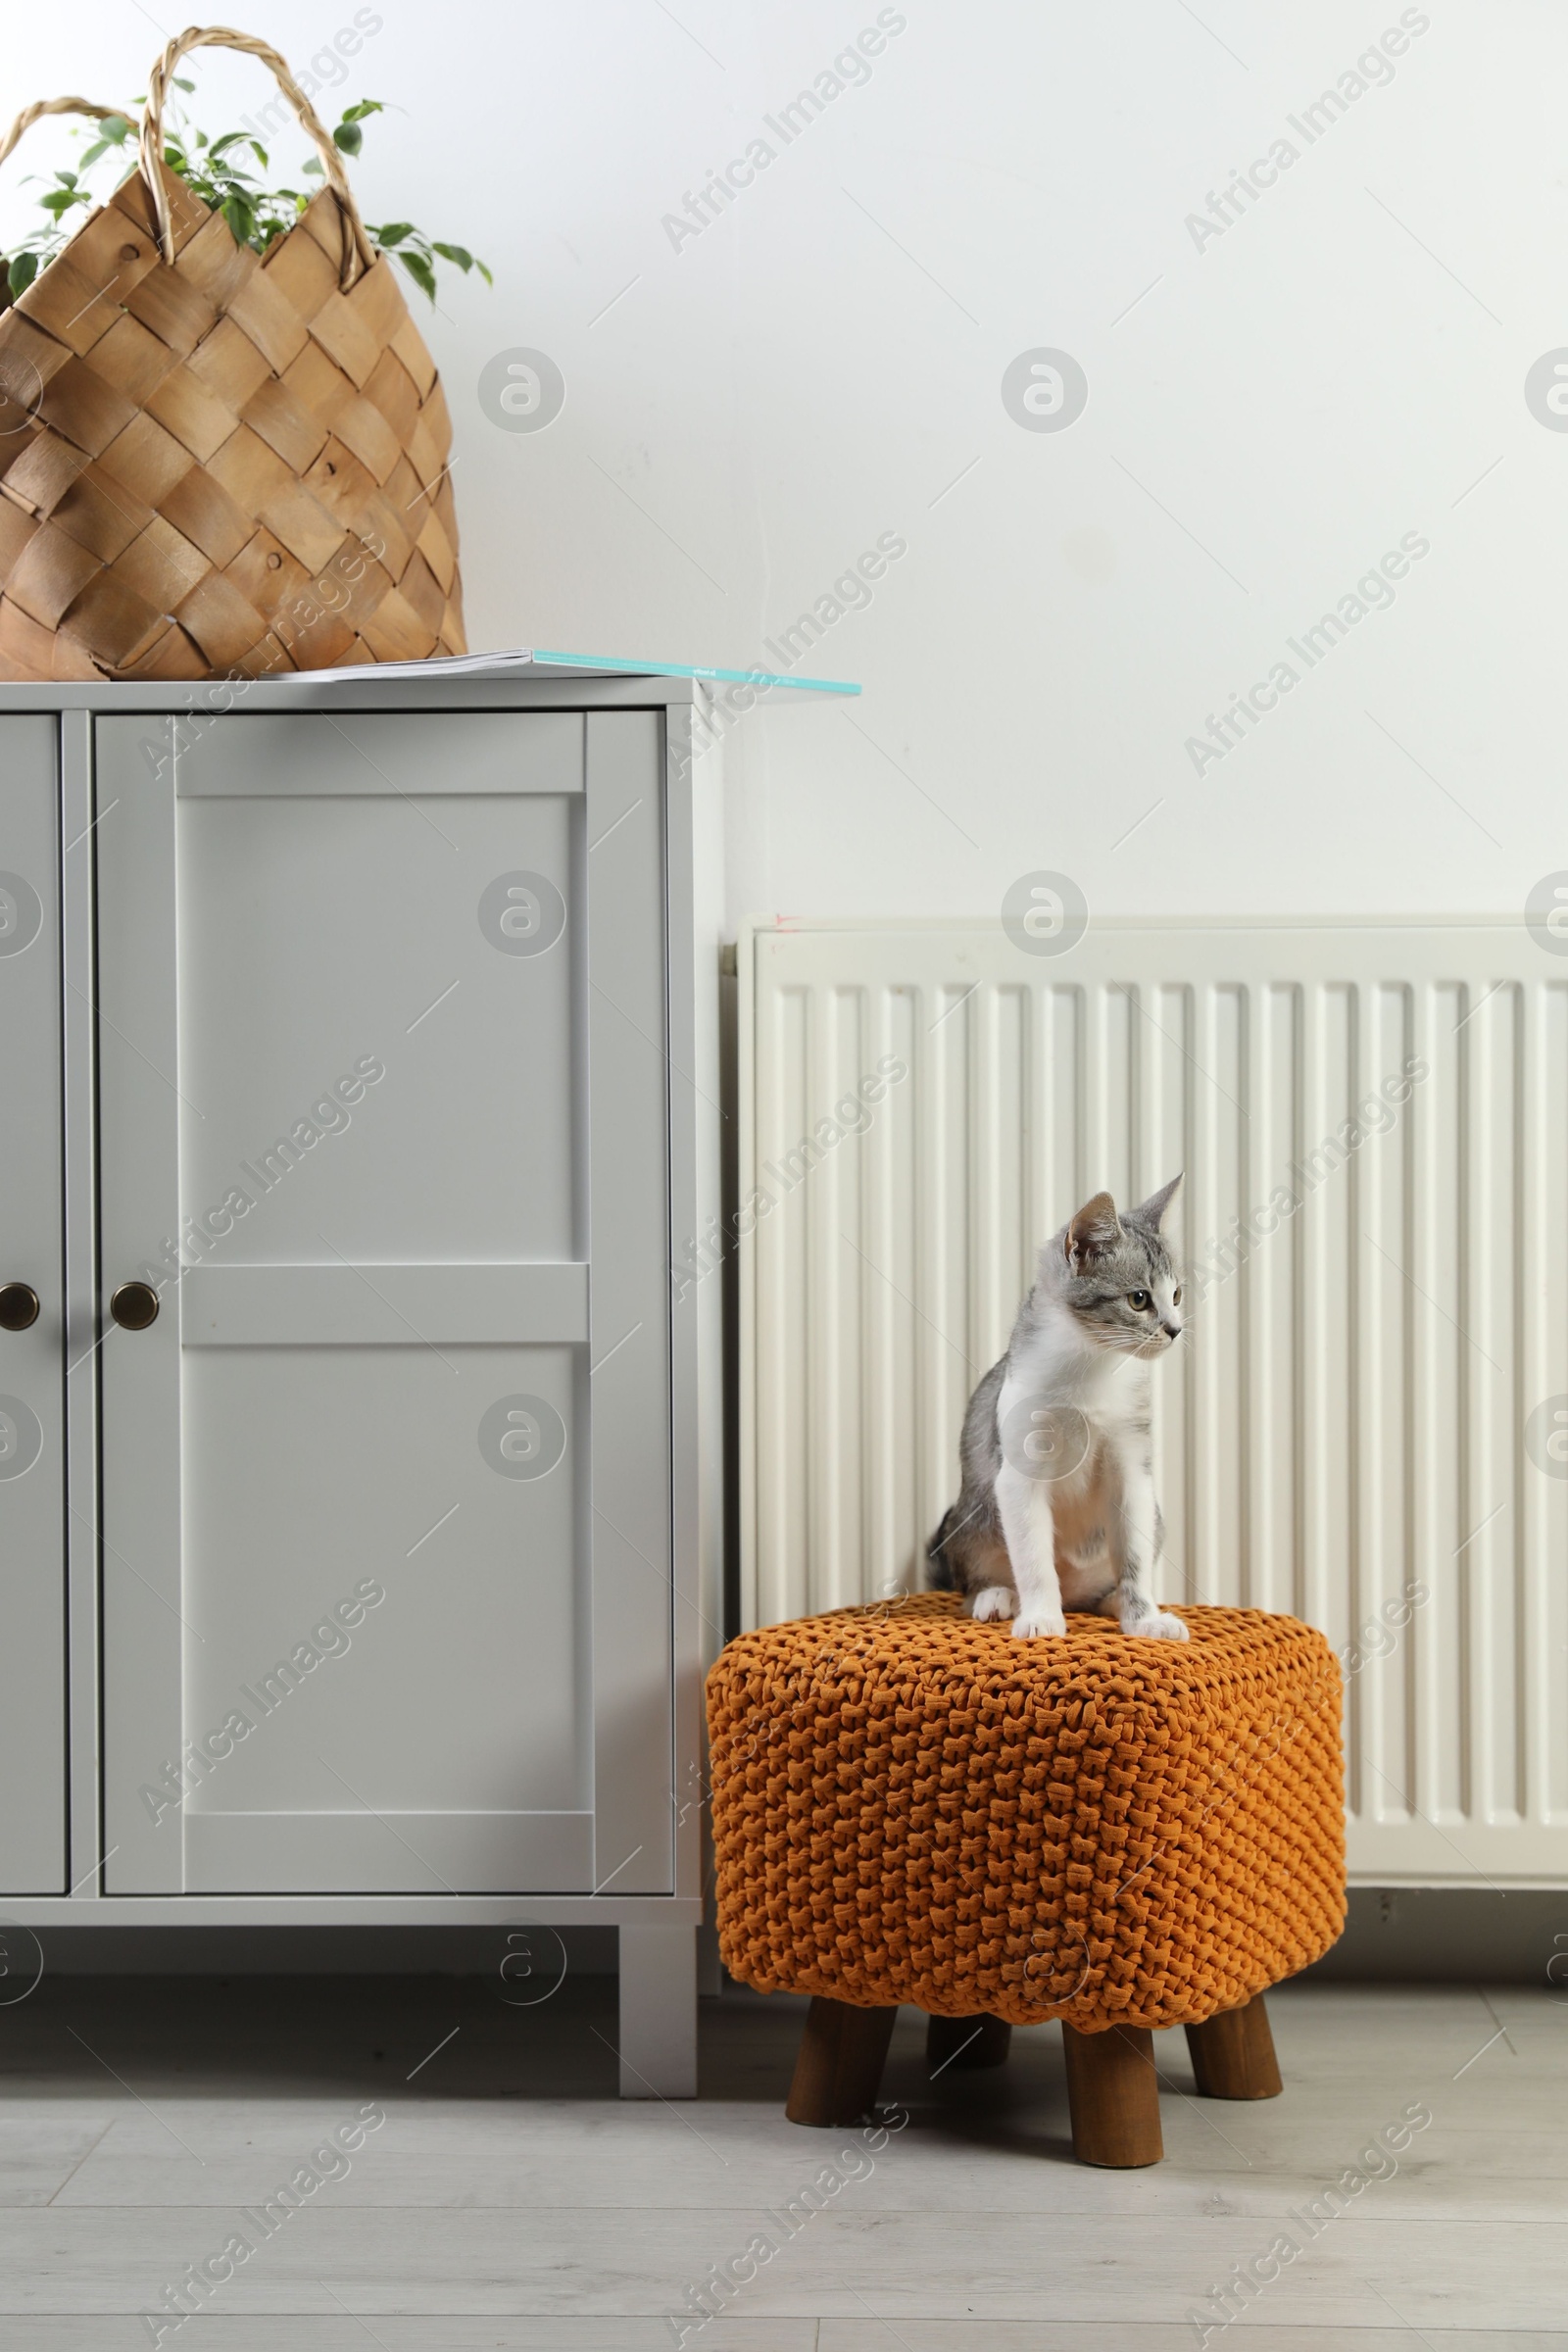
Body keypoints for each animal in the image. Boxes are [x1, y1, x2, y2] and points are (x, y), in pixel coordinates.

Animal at [930, 1171, 1189, 1637]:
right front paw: (1040, 1617)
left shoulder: (1132, 1461)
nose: (1176, 1330)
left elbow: (1134, 1556)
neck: (1092, 1365)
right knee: (973, 1579)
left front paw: (1145, 1619)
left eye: (1176, 1295)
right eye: (1139, 1299)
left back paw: (1114, 1603)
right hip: (970, 1519)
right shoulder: (1017, 1471)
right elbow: (1033, 1557)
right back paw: (996, 1597)